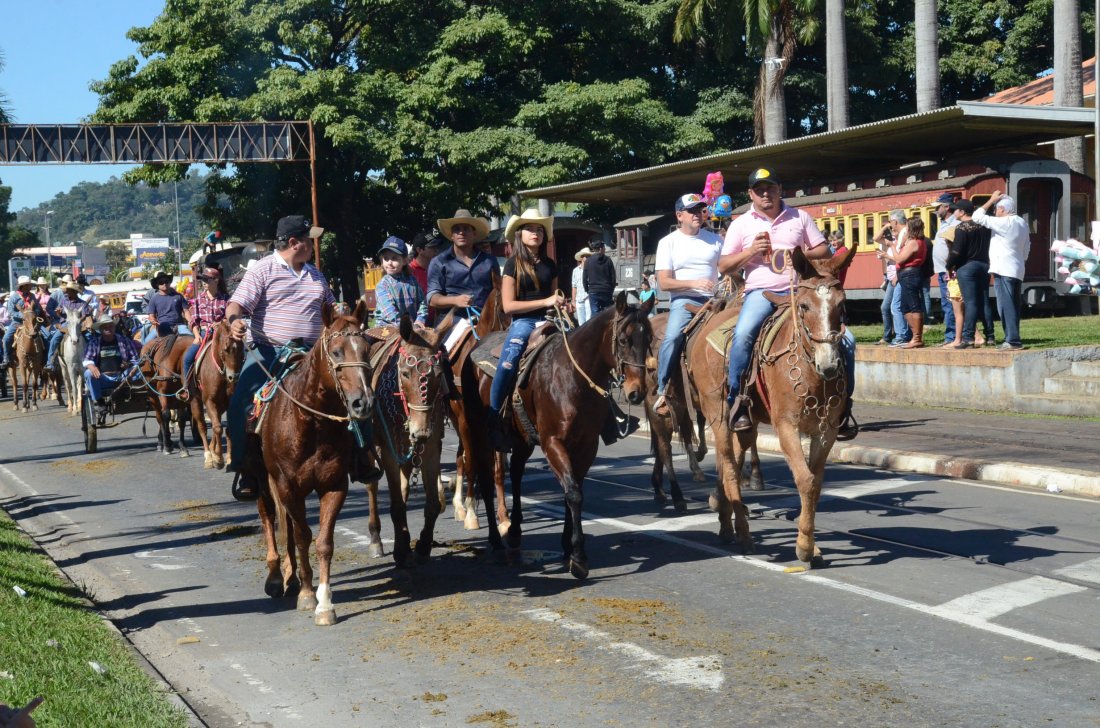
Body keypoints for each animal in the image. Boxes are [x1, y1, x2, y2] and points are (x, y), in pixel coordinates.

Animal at [187, 321, 243, 470]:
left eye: (242, 349)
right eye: (225, 349)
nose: (234, 377)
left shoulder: (229, 403)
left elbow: (227, 429)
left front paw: (229, 458)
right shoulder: (209, 401)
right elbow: (217, 428)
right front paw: (218, 459)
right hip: (195, 401)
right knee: (202, 426)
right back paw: (208, 456)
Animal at [250, 301, 374, 629]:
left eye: (366, 349)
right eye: (337, 351)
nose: (363, 403)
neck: (312, 423)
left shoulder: (334, 486)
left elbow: (323, 542)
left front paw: (325, 605)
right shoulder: (287, 487)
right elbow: (304, 535)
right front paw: (307, 594)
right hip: (262, 480)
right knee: (270, 517)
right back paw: (276, 577)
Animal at [356, 310, 451, 567]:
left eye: (439, 374)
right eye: (406, 373)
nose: (421, 431)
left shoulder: (431, 448)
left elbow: (432, 502)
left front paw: (423, 546)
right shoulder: (389, 450)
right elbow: (397, 504)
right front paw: (400, 550)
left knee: (404, 482)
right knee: (373, 486)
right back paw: (376, 539)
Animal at [466, 292, 651, 580]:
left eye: (649, 339)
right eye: (623, 340)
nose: (637, 392)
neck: (573, 378)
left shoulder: (586, 446)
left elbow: (573, 490)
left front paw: (568, 547)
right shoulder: (553, 443)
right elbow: (573, 492)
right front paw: (578, 557)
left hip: (521, 438)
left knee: (516, 473)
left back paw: (515, 531)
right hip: (478, 433)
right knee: (486, 479)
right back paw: (495, 538)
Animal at [682, 246, 853, 563]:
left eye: (842, 304)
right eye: (804, 306)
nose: (829, 364)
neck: (810, 371)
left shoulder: (826, 431)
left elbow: (814, 483)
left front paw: (811, 543)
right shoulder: (786, 426)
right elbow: (805, 479)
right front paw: (804, 547)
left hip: (744, 421)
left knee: (732, 460)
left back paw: (726, 522)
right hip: (717, 415)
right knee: (729, 466)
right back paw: (743, 534)